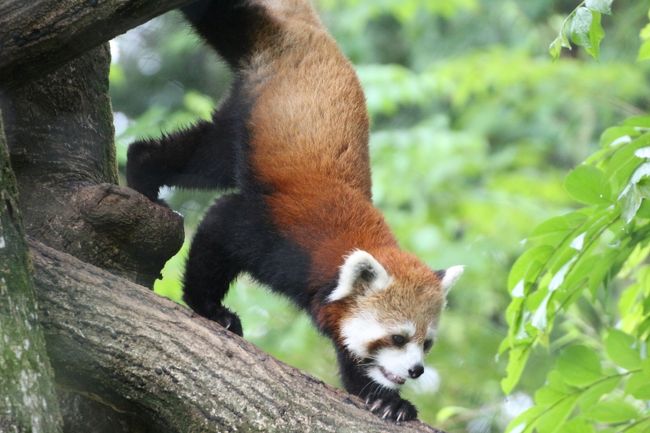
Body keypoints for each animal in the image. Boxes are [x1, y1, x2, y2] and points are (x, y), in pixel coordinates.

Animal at [126, 0, 460, 420]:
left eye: (426, 343)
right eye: (399, 337)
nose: (416, 370)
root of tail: (317, 36)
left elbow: (352, 355)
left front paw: (387, 401)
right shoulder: (280, 235)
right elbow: (222, 221)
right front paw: (211, 310)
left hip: (243, 114)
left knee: (203, 156)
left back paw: (143, 166)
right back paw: (142, 184)